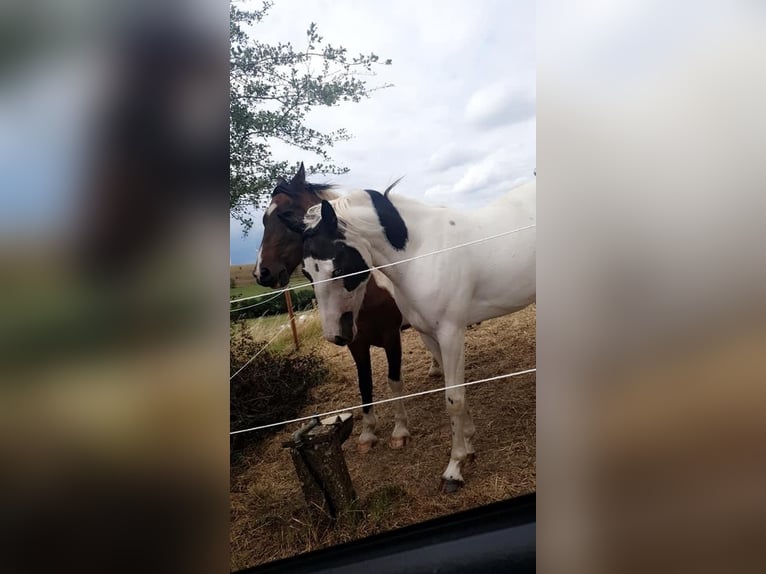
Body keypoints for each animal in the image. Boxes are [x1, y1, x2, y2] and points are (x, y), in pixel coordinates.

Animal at [255, 165, 440, 454]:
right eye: (265, 220)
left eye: (287, 215)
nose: (262, 272)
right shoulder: (356, 343)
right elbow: (365, 384)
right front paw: (368, 434)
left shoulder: (391, 337)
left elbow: (393, 380)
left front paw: (400, 431)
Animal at [284, 179, 540, 490]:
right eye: (308, 273)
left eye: (340, 267)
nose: (336, 335)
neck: (421, 253)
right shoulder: (430, 335)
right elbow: (453, 392)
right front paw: (468, 448)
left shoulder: (451, 333)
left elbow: (454, 399)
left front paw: (454, 469)